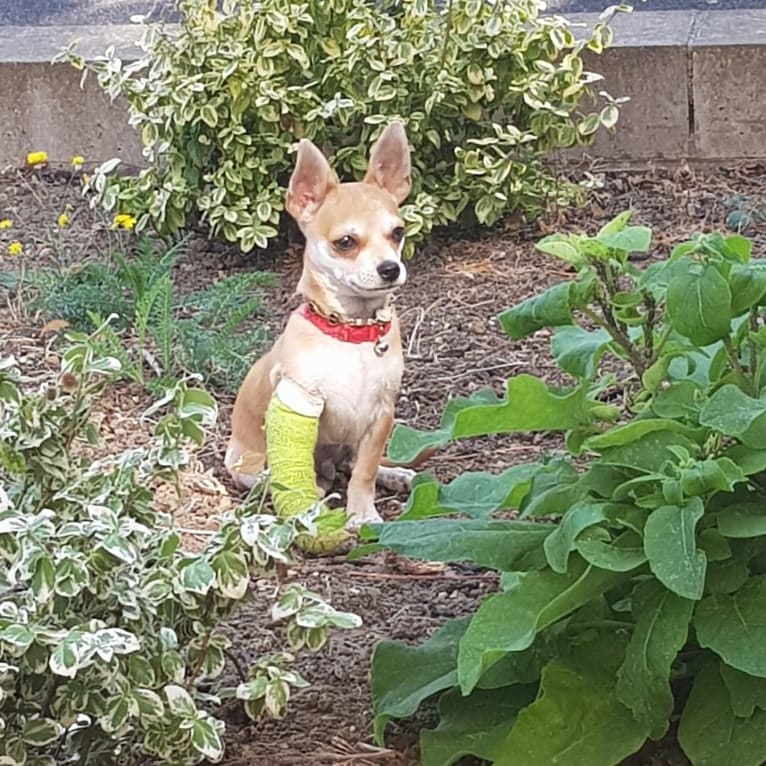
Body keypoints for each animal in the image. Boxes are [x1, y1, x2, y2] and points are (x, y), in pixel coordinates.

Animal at [225, 124, 424, 536]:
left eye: (398, 233)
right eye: (345, 242)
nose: (390, 268)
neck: (353, 333)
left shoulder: (381, 415)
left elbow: (364, 472)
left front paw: (363, 512)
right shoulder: (302, 404)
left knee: (352, 464)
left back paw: (393, 474)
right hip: (245, 461)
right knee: (271, 474)